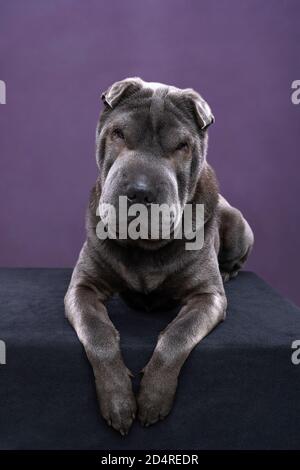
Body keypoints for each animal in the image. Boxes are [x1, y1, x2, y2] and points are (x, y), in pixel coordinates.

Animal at [65, 77, 253, 434]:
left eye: (181, 146)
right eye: (119, 133)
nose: (139, 191)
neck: (145, 246)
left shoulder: (208, 296)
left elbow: (177, 336)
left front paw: (153, 398)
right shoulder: (82, 287)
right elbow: (97, 333)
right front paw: (119, 401)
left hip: (238, 225)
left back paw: (230, 270)